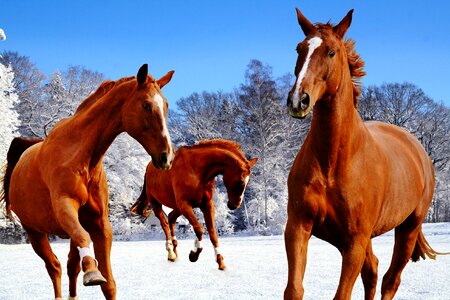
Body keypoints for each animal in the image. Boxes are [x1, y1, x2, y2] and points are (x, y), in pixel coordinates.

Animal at [0, 64, 176, 298]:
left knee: (71, 266)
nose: (167, 157)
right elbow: (84, 240)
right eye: (146, 105)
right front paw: (92, 272)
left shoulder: (99, 224)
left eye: (165, 105)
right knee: (54, 267)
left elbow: (108, 284)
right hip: (34, 233)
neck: (80, 155)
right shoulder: (65, 207)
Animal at [130, 139, 256, 270]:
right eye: (240, 181)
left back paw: (175, 250)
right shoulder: (185, 204)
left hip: (177, 207)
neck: (197, 170)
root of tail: (149, 167)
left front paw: (220, 261)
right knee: (165, 224)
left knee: (171, 218)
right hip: (156, 203)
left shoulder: (207, 205)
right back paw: (171, 253)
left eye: (248, 182)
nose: (234, 205)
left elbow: (212, 234)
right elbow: (199, 229)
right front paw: (194, 254)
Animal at [284, 8, 442, 300]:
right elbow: (294, 289)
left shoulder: (355, 240)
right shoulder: (298, 228)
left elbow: (342, 295)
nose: (299, 100)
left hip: (407, 229)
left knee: (390, 280)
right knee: (373, 271)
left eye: (331, 52)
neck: (333, 161)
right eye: (299, 48)